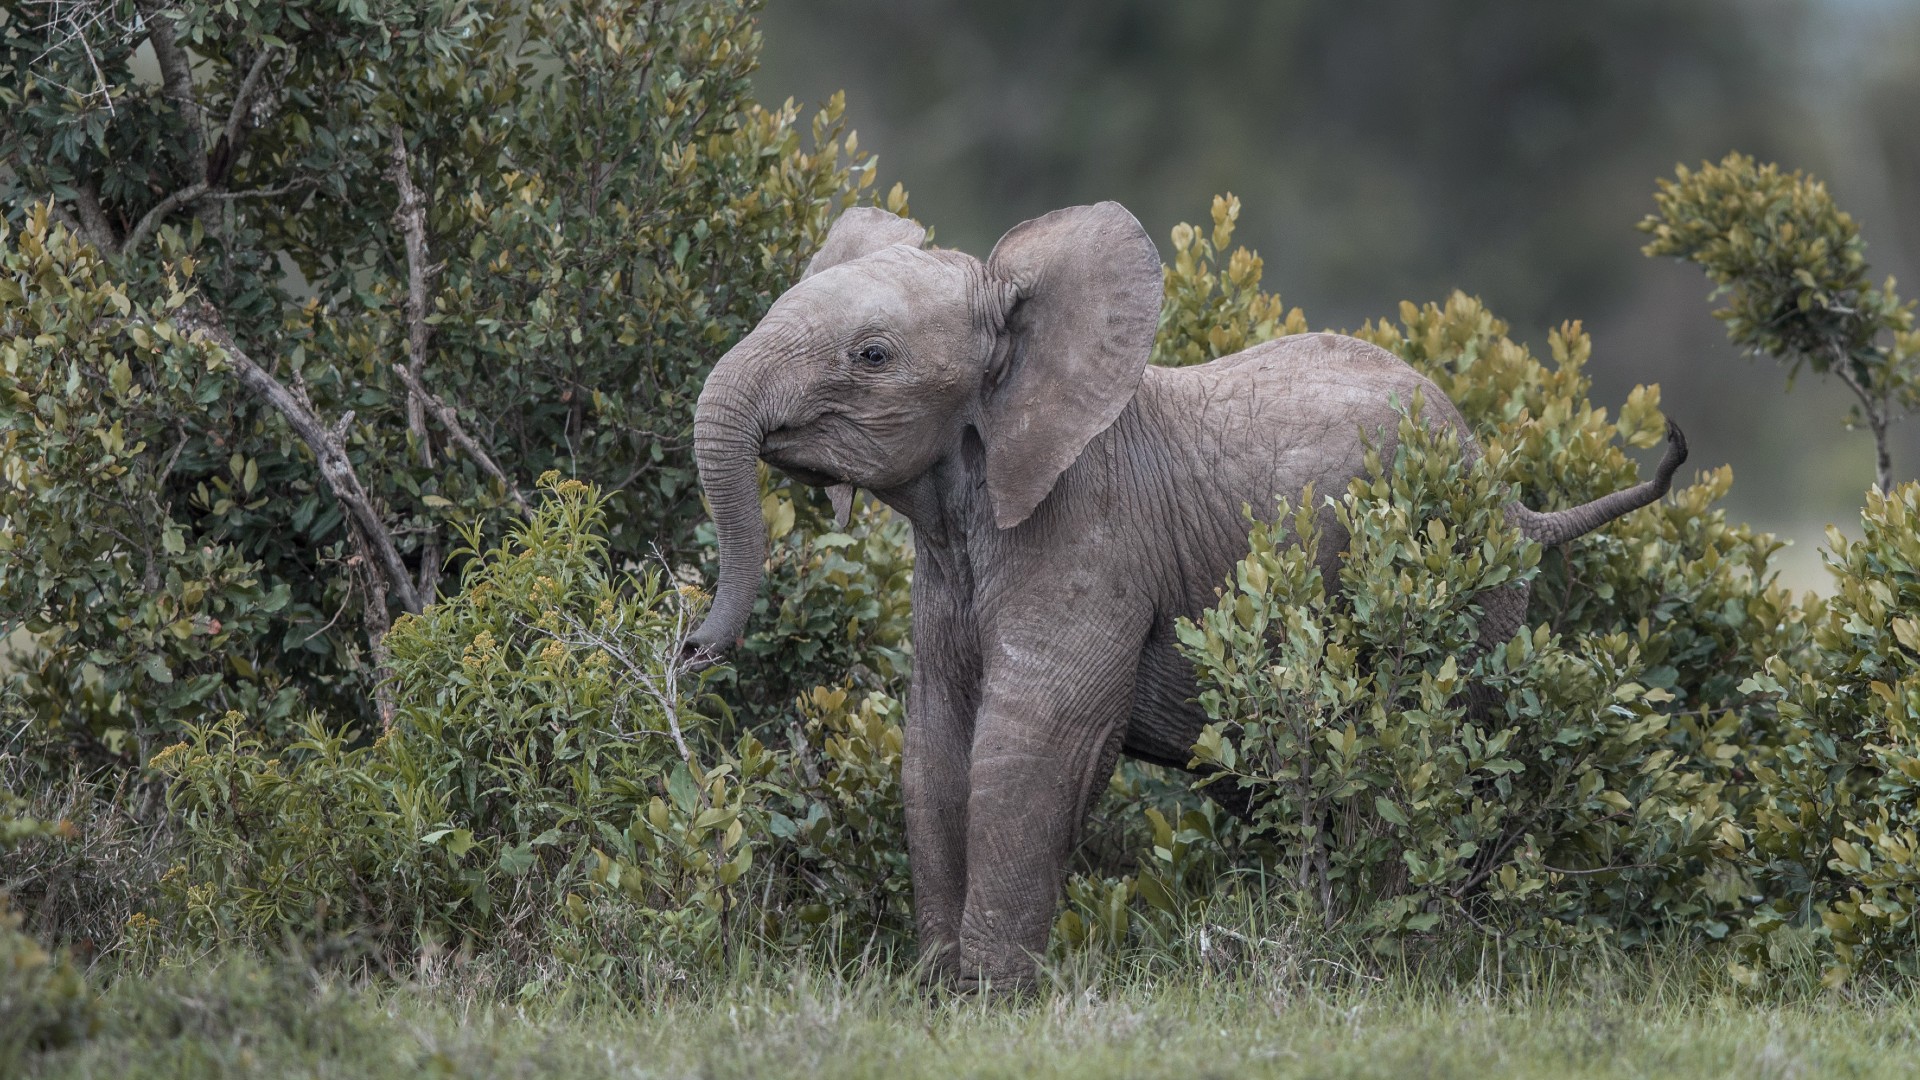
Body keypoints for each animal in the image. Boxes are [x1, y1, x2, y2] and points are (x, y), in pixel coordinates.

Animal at [683, 197, 1689, 991]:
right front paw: (935, 992)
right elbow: (934, 745)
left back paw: (1398, 961)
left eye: (873, 355)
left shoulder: (1093, 533)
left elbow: (1029, 745)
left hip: (1462, 592)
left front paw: (991, 999)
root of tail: (1514, 502)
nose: (691, 650)